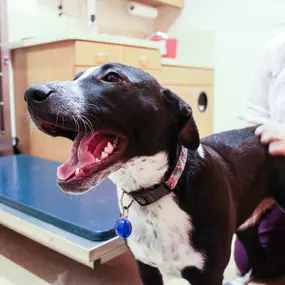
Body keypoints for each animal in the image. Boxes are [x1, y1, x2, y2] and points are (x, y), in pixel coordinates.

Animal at [23, 62, 284, 284]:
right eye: (76, 77)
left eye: (112, 77)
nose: (31, 93)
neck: (157, 189)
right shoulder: (146, 268)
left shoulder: (208, 274)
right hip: (247, 222)